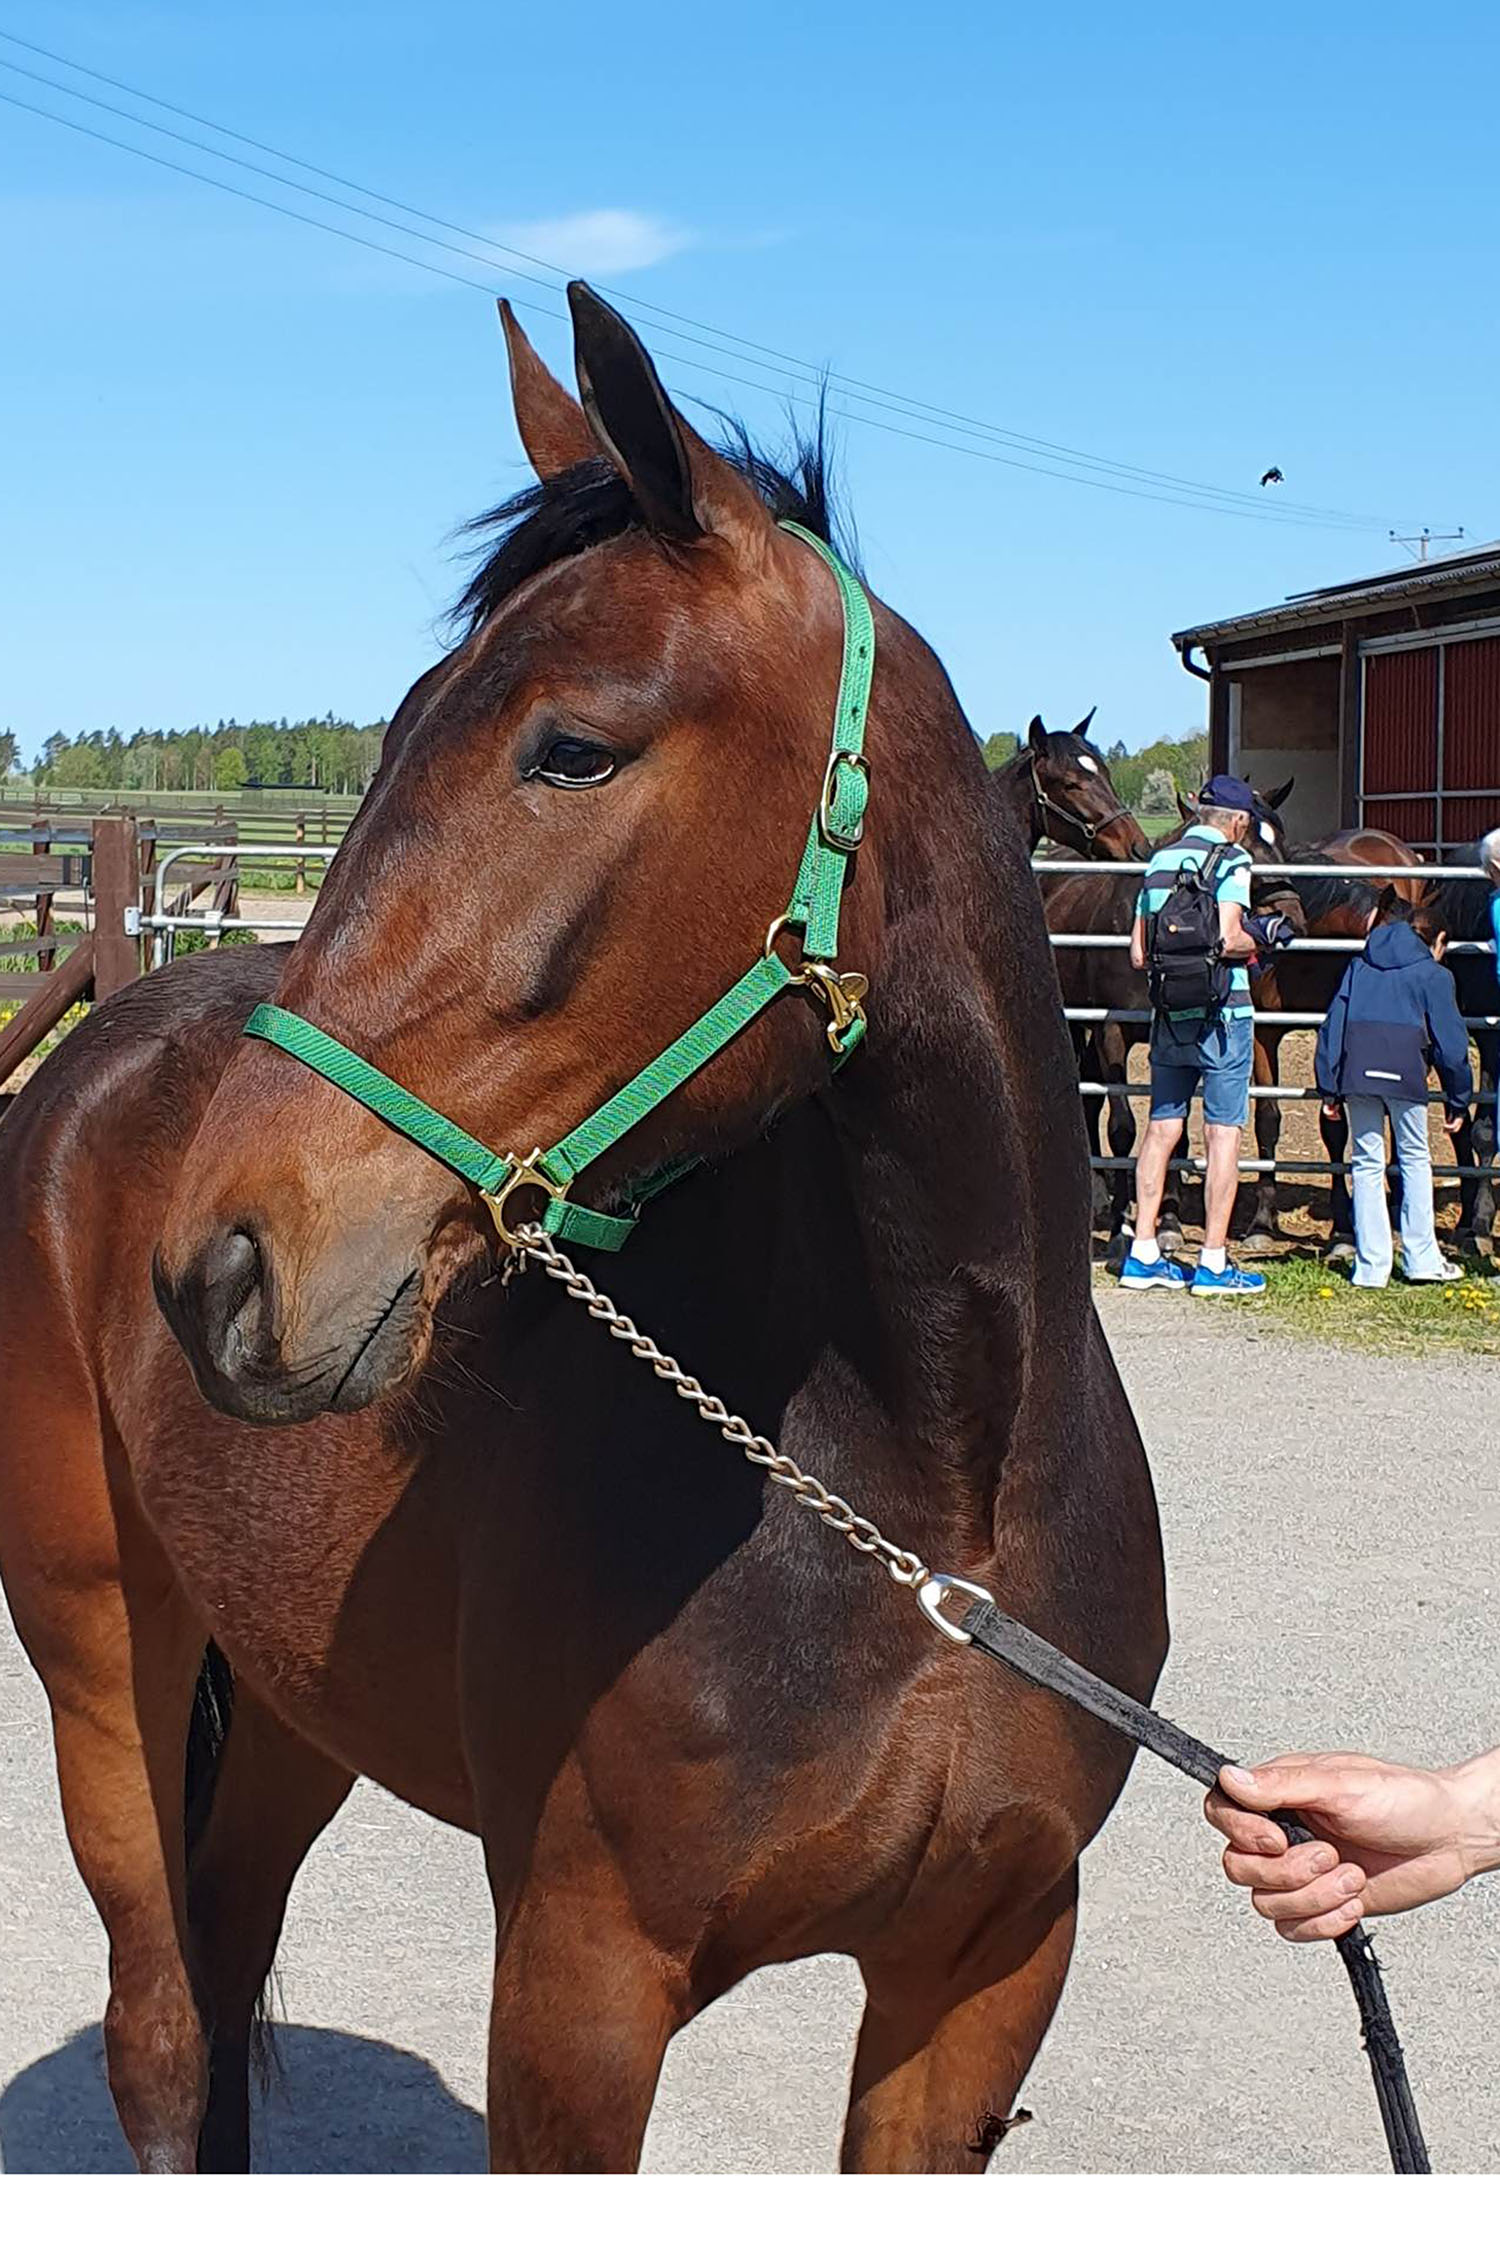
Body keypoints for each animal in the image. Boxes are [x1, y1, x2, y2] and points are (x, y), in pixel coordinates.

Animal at [0, 290, 1169, 2169]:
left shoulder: (985, 1976)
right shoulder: (579, 1987)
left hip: (295, 1704)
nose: (224, 1264)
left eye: (573, 746)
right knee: (167, 2035)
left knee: (229, 1940)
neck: (935, 1518)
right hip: (101, 1653)